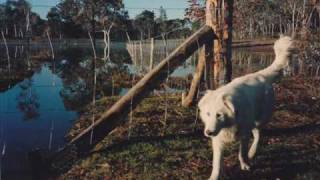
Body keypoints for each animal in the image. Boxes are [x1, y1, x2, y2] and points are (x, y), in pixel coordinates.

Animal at [199, 36, 294, 180]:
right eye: (208, 114)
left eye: (219, 115)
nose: (208, 132)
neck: (229, 123)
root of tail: (261, 75)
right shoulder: (218, 141)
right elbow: (216, 163)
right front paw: (214, 177)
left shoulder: (244, 136)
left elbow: (241, 153)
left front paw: (244, 164)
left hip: (260, 120)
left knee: (258, 135)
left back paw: (252, 152)